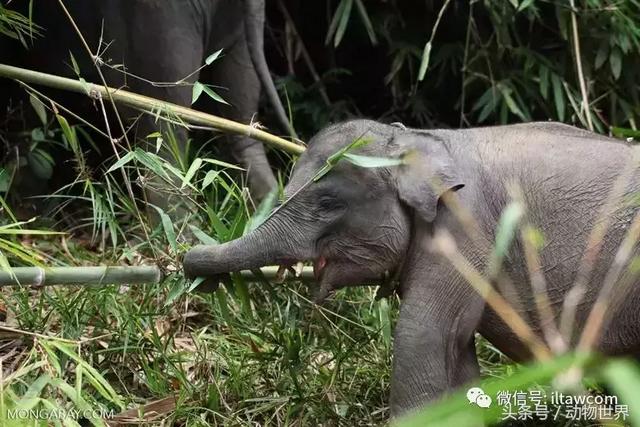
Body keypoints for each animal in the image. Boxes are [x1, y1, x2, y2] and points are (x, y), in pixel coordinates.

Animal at [182, 121, 640, 418]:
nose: (188, 263)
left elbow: (423, 333)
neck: (416, 141)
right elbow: (455, 347)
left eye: (328, 203)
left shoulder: (465, 228)